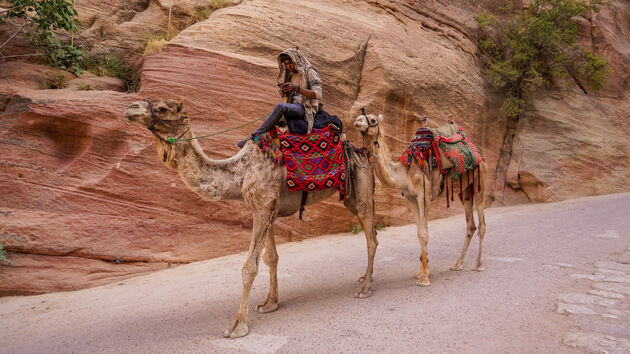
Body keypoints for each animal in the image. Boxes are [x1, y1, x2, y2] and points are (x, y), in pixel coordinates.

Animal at [126, 99, 378, 338]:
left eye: (163, 107)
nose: (130, 107)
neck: (241, 172)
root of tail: (358, 149)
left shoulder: (263, 207)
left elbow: (249, 267)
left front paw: (238, 325)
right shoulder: (268, 208)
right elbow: (271, 258)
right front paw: (270, 303)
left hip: (362, 178)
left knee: (370, 235)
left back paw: (365, 289)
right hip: (349, 194)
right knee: (371, 229)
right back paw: (365, 278)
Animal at [356, 113, 488, 288]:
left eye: (372, 120)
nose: (357, 120)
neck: (404, 172)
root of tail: (479, 154)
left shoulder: (423, 196)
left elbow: (424, 234)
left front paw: (424, 278)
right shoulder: (411, 198)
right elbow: (420, 233)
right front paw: (421, 272)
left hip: (481, 182)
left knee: (482, 224)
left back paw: (479, 264)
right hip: (465, 190)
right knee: (470, 225)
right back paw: (458, 264)